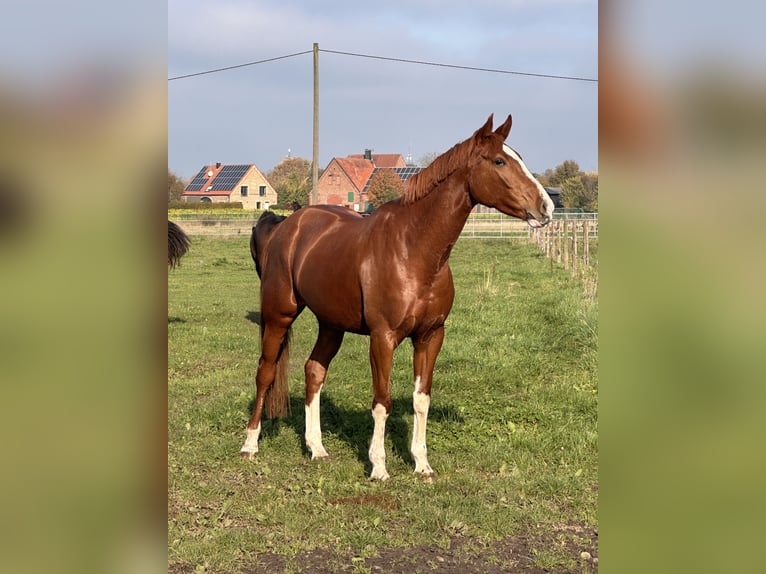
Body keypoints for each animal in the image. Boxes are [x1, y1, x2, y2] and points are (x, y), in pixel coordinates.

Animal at [243, 113, 556, 482]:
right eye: (499, 161)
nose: (546, 207)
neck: (413, 250)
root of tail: (286, 226)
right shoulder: (383, 338)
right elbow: (383, 401)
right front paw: (378, 466)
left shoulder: (430, 336)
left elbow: (421, 399)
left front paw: (422, 464)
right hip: (279, 314)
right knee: (265, 372)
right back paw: (250, 444)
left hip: (331, 324)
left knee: (313, 371)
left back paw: (316, 448)